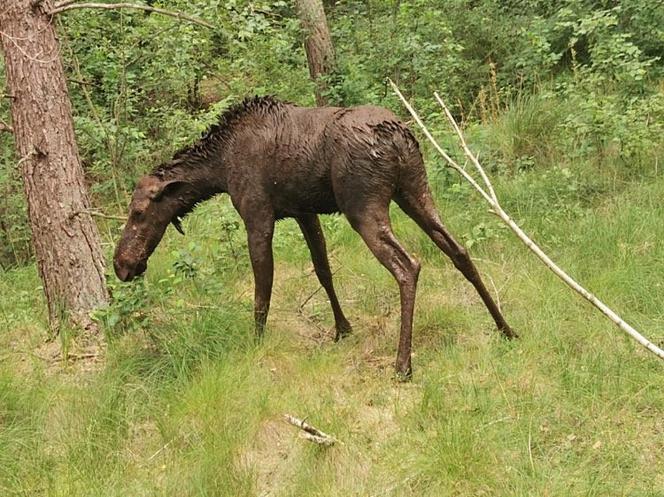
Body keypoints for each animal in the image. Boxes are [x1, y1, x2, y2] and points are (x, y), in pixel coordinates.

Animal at [114, 95, 516, 378]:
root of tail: (398, 136)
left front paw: (255, 345)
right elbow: (323, 270)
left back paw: (402, 364)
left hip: (363, 206)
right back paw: (505, 328)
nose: (121, 265)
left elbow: (262, 290)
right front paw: (343, 328)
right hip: (414, 191)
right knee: (458, 250)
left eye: (138, 213)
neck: (219, 168)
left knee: (408, 266)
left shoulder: (257, 215)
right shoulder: (304, 212)